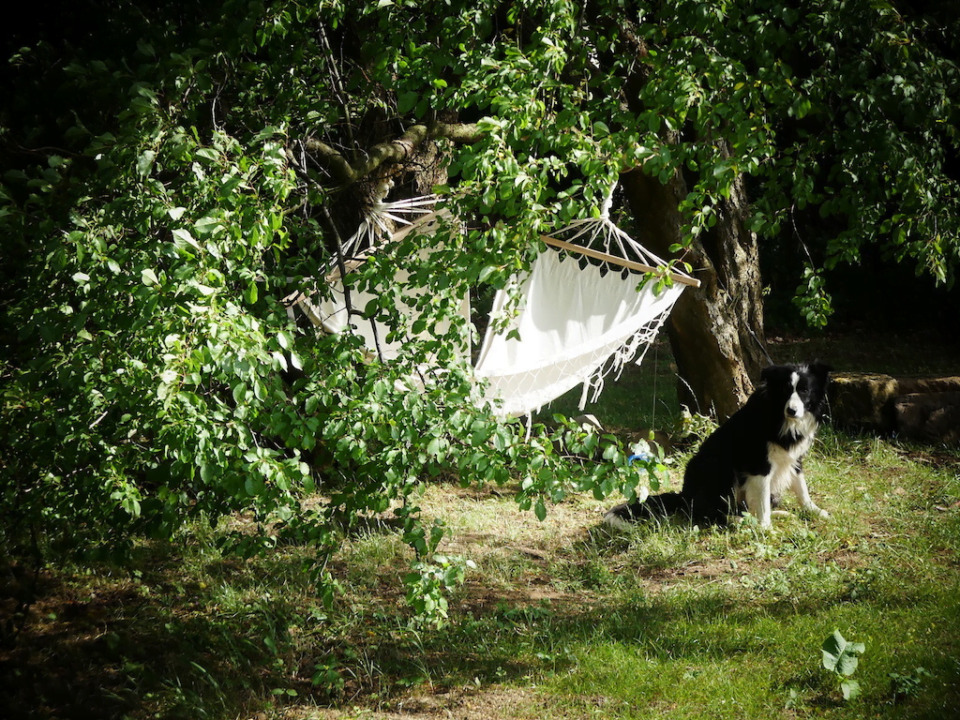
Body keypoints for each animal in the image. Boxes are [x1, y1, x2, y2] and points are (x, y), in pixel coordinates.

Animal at [608, 366, 832, 528]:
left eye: (804, 391)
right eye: (785, 391)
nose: (792, 410)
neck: (780, 417)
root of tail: (684, 496)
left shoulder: (794, 458)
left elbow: (801, 488)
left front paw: (815, 511)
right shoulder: (758, 464)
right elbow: (761, 502)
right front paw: (765, 528)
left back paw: (777, 514)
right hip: (719, 469)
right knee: (711, 513)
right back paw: (741, 521)